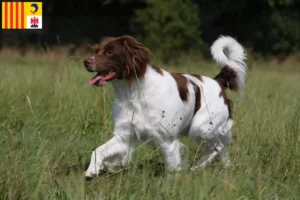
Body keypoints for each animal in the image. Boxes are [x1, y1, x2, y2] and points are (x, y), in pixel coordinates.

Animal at [83, 35, 247, 177]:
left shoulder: (167, 141)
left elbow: (172, 170)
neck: (133, 91)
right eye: (97, 51)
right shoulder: (124, 137)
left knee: (217, 148)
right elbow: (97, 151)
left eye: (110, 52)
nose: (86, 61)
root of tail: (218, 82)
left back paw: (196, 167)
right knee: (221, 151)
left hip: (201, 128)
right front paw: (92, 171)